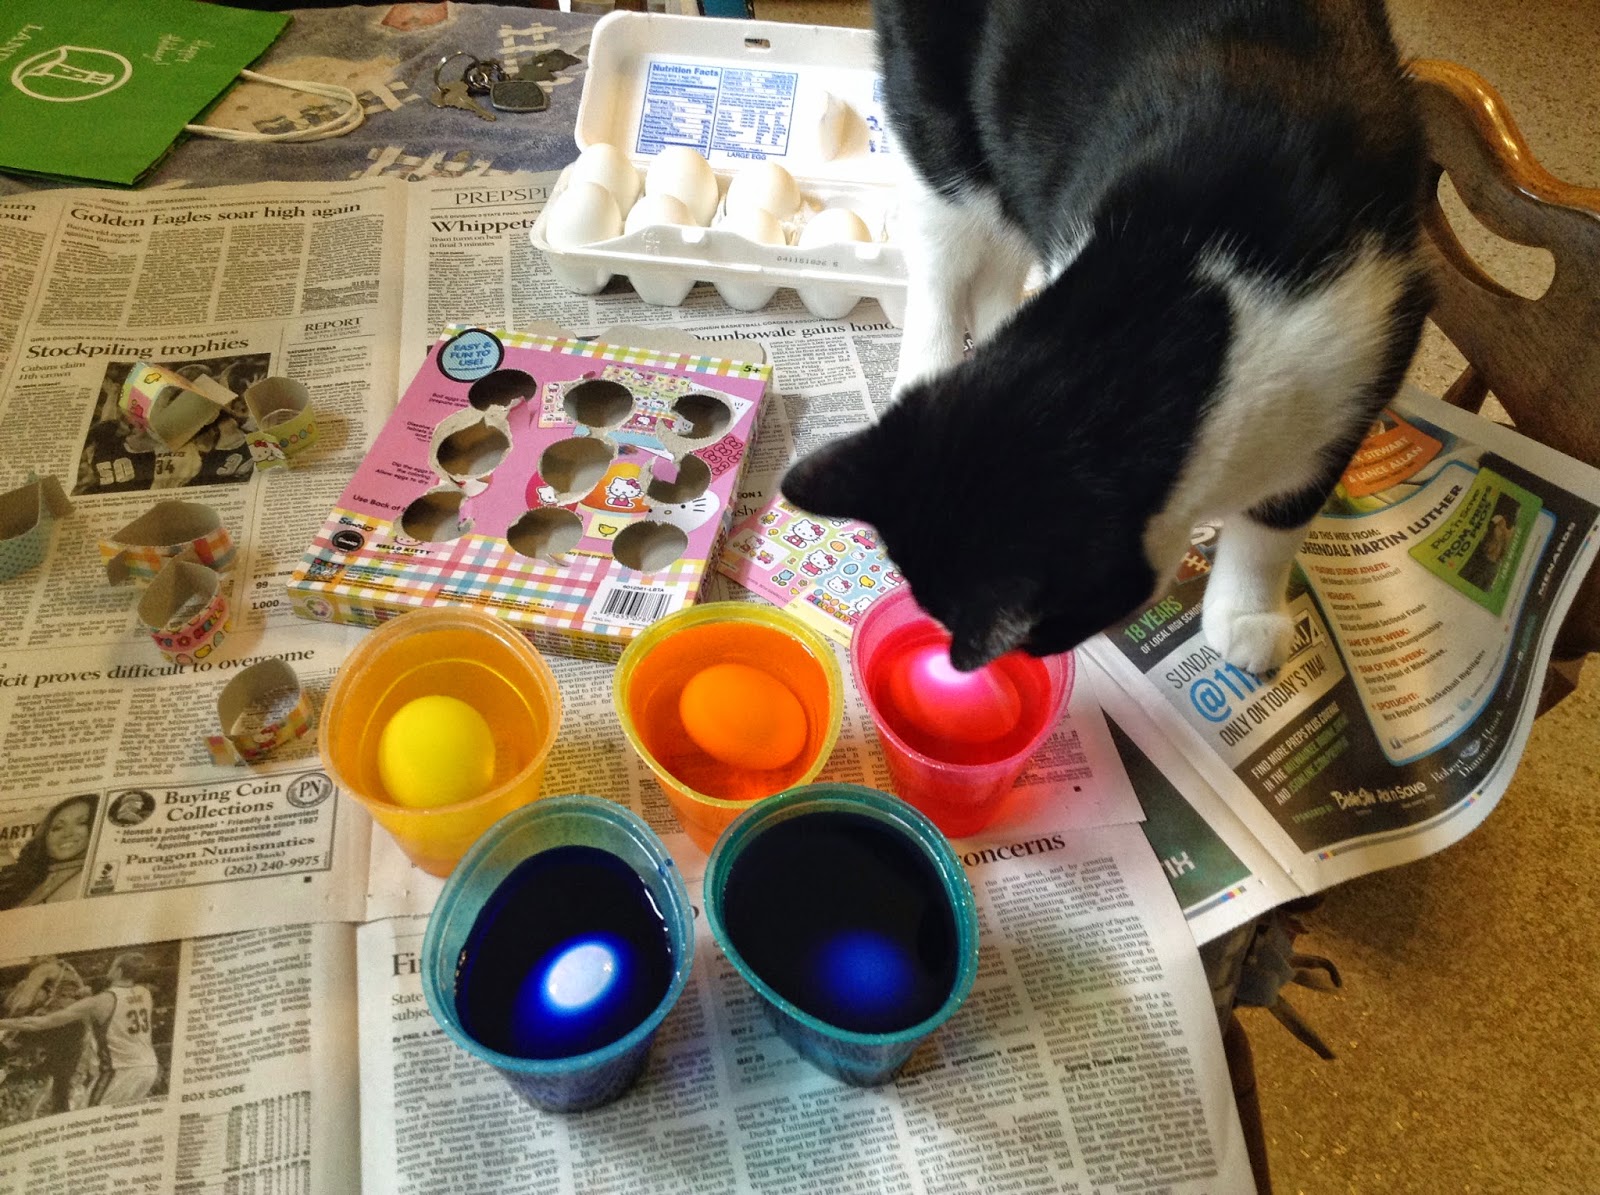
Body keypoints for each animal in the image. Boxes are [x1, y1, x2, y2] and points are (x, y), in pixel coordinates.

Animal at [780, 0, 1431, 674]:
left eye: (1039, 635)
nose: (1006, 660)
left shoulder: (1367, 357)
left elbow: (1278, 519)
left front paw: (1249, 613)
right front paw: (1247, 615)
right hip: (935, 116)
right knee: (942, 254)